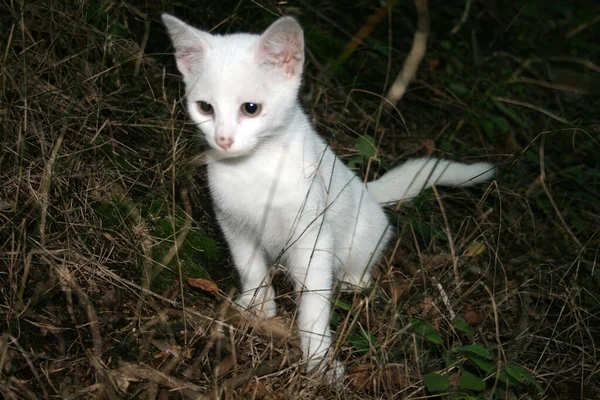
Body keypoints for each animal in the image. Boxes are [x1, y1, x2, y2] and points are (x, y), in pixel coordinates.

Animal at [162, 14, 494, 382]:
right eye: (205, 107)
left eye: (250, 108)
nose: (223, 139)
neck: (254, 169)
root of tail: (366, 190)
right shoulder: (232, 222)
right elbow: (249, 267)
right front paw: (258, 306)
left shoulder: (313, 234)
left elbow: (314, 303)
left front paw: (319, 360)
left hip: (361, 236)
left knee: (361, 263)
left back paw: (351, 281)